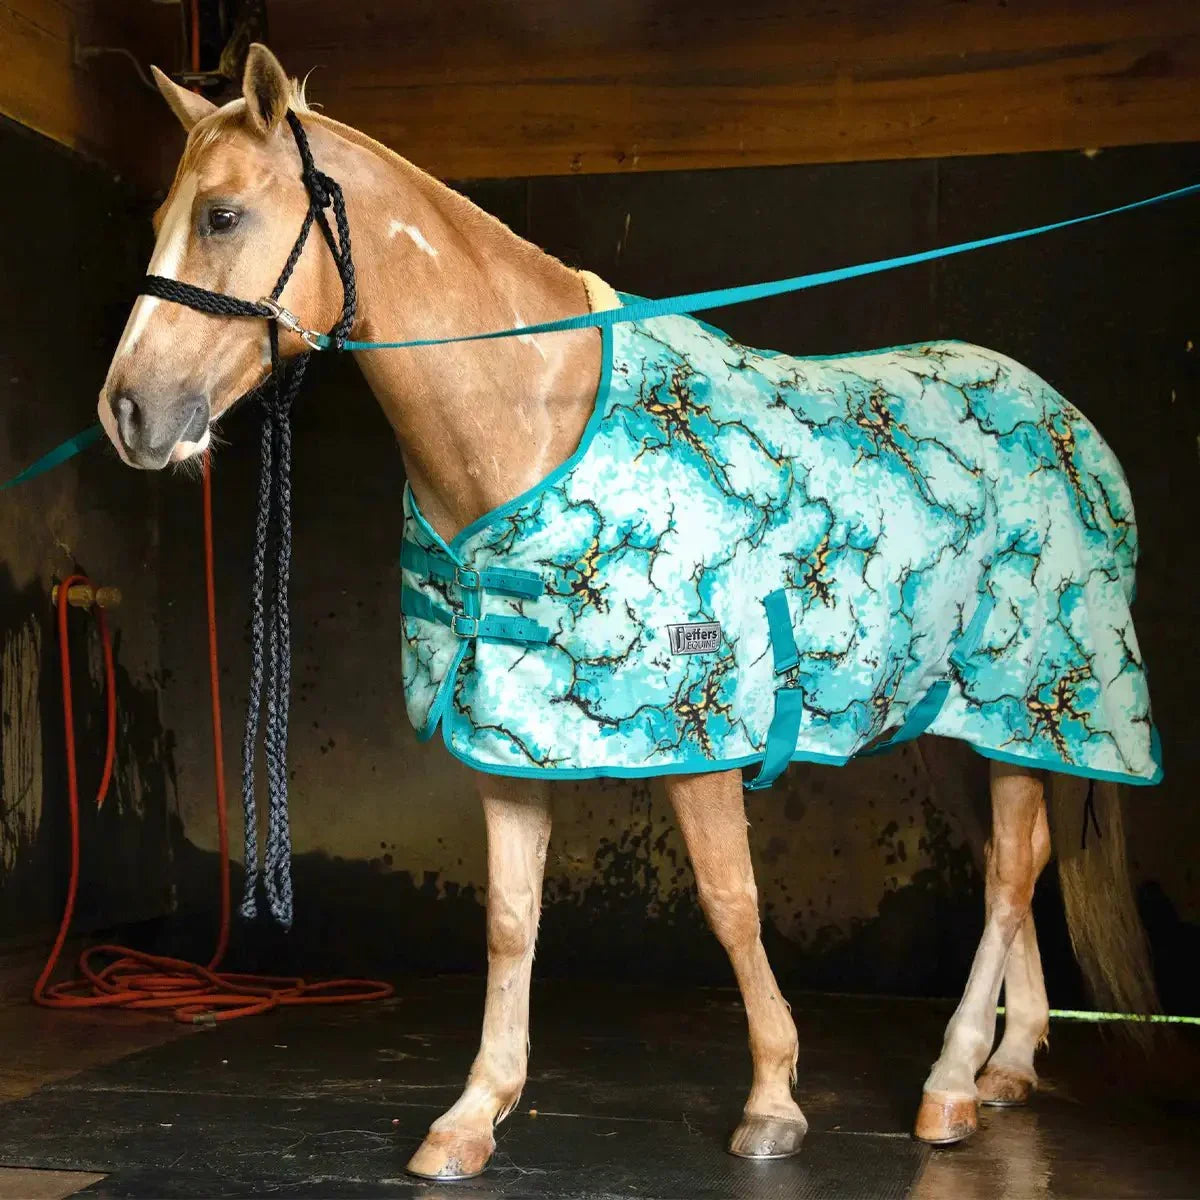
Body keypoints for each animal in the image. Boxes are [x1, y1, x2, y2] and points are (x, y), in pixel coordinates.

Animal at [97, 43, 1161, 1180]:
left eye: (221, 216)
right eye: (159, 214)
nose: (128, 412)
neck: (534, 415)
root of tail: (1068, 421)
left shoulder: (702, 729)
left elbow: (731, 904)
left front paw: (775, 1099)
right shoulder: (506, 734)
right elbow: (511, 921)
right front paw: (473, 1115)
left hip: (1028, 697)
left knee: (1007, 876)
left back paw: (953, 1084)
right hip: (956, 722)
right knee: (1027, 865)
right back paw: (1007, 1065)